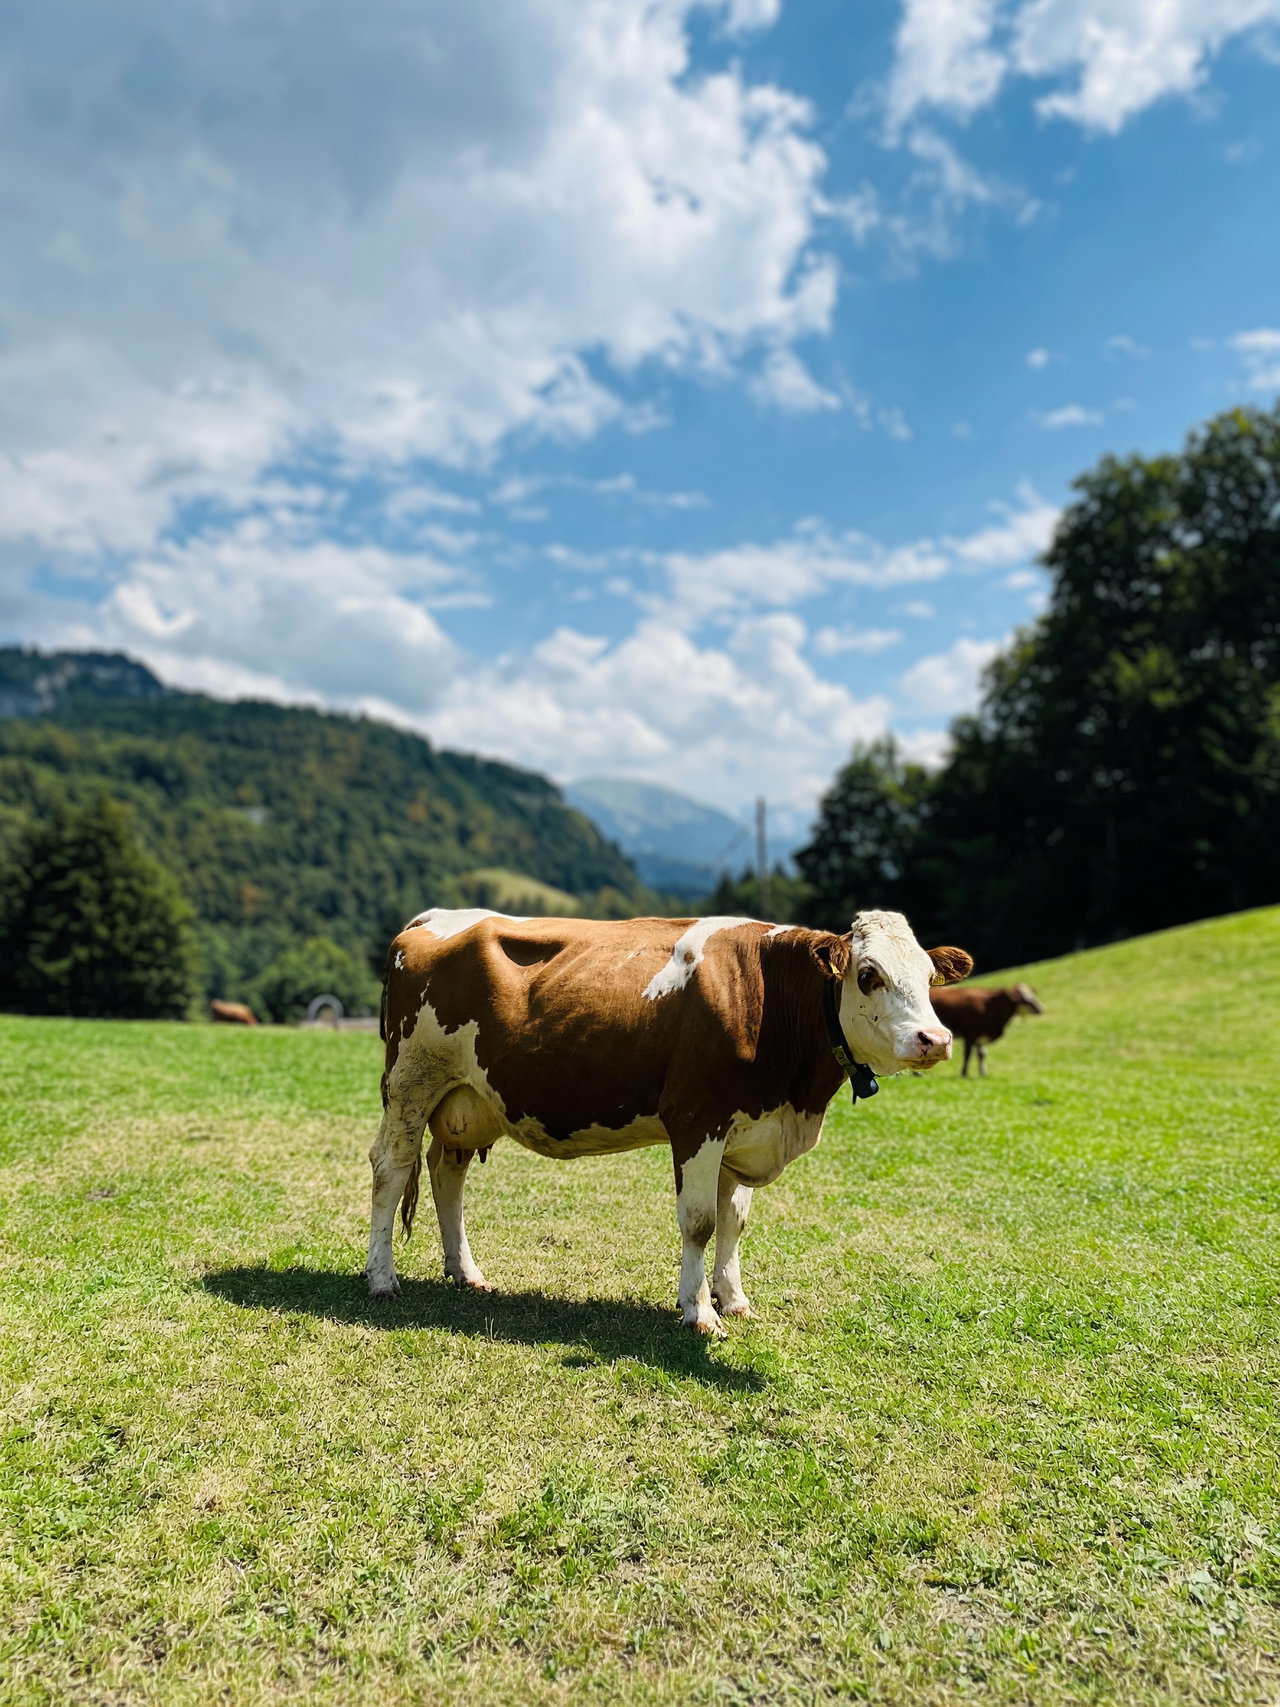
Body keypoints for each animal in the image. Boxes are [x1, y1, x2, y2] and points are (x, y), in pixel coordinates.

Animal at [366, 908, 973, 1335]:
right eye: (869, 975)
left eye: (928, 976)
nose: (936, 1039)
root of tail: (433, 919)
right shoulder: (697, 1120)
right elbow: (700, 1222)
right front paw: (699, 1311)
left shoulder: (745, 1130)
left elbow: (734, 1222)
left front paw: (734, 1299)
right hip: (410, 1083)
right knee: (390, 1171)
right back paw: (382, 1278)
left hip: (466, 1100)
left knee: (447, 1174)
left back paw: (465, 1272)